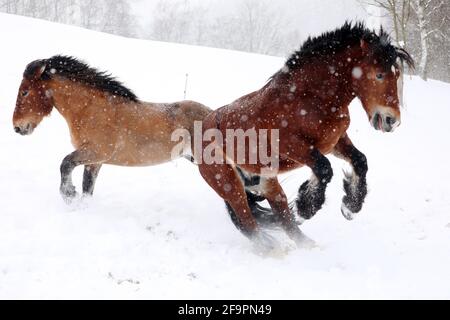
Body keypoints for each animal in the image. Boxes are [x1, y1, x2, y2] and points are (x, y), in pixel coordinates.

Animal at [12, 55, 211, 200]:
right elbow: (87, 188)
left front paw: (68, 193)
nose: (17, 127)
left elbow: (65, 163)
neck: (90, 109)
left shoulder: (96, 152)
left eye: (25, 92)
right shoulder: (94, 162)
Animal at [195, 21, 414, 250]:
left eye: (397, 75)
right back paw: (272, 249)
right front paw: (306, 206)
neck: (309, 98)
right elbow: (324, 168)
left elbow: (360, 160)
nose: (391, 120)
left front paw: (350, 206)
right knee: (248, 220)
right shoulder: (292, 145)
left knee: (282, 214)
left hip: (267, 183)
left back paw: (307, 245)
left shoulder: (335, 141)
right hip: (229, 184)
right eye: (379, 74)